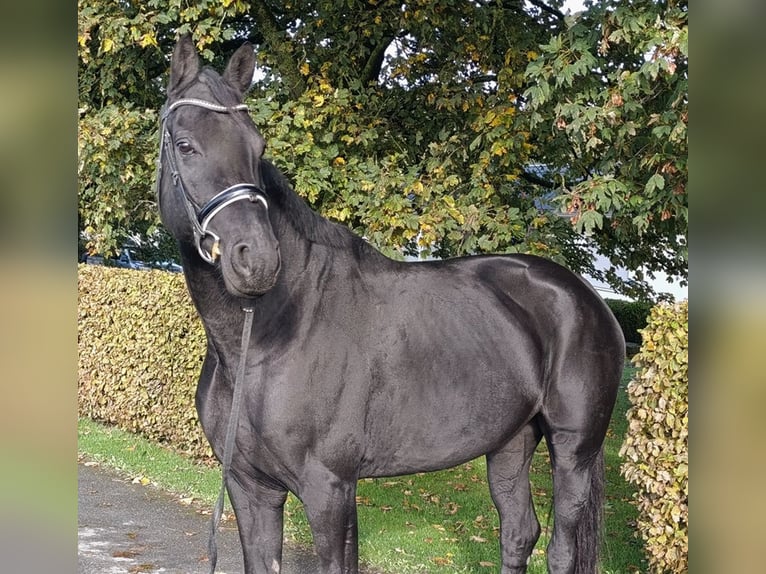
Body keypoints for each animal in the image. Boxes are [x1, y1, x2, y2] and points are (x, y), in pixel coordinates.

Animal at [159, 37, 628, 574]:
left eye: (257, 148)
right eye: (185, 145)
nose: (256, 260)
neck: (265, 340)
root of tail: (586, 298)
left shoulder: (329, 489)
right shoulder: (249, 487)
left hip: (574, 450)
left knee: (560, 549)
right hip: (510, 442)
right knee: (517, 533)